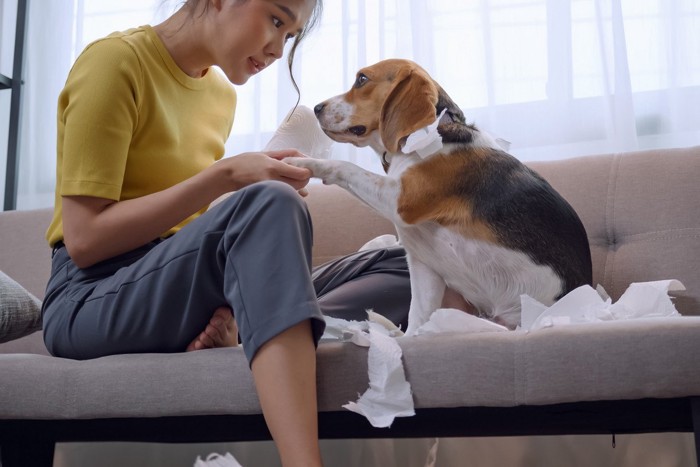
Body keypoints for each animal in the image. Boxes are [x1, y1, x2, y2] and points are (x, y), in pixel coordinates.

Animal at [288, 59, 592, 336]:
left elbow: (344, 166)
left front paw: (302, 162)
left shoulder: (401, 199)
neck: (427, 135)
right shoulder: (424, 265)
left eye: (362, 79)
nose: (316, 108)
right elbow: (418, 315)